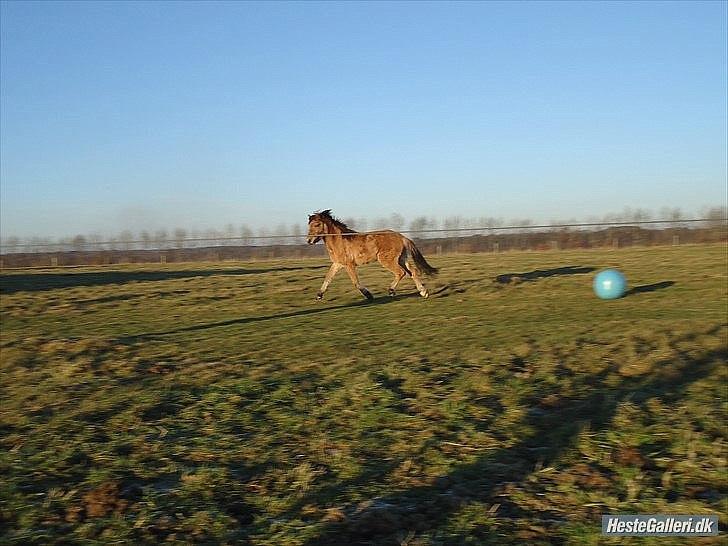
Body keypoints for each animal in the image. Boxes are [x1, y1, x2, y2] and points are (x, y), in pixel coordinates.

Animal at [308, 209, 438, 302]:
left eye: (317, 224)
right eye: (309, 224)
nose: (309, 241)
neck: (340, 241)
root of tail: (402, 237)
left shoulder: (349, 265)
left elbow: (356, 282)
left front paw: (369, 295)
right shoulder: (337, 264)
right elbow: (328, 278)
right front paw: (319, 295)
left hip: (387, 260)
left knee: (401, 273)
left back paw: (391, 291)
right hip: (401, 259)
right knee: (413, 271)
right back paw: (423, 292)